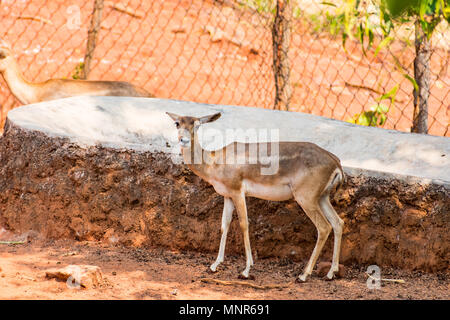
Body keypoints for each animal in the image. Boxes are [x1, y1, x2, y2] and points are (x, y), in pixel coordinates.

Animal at [167, 111, 346, 282]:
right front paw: (214, 265)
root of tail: (336, 163)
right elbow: (224, 225)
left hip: (305, 197)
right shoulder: (227, 195)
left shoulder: (238, 191)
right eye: (177, 123)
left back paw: (303, 275)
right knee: (338, 222)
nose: (183, 140)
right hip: (322, 197)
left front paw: (246, 270)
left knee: (324, 227)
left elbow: (244, 224)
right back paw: (330, 273)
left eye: (197, 125)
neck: (214, 163)